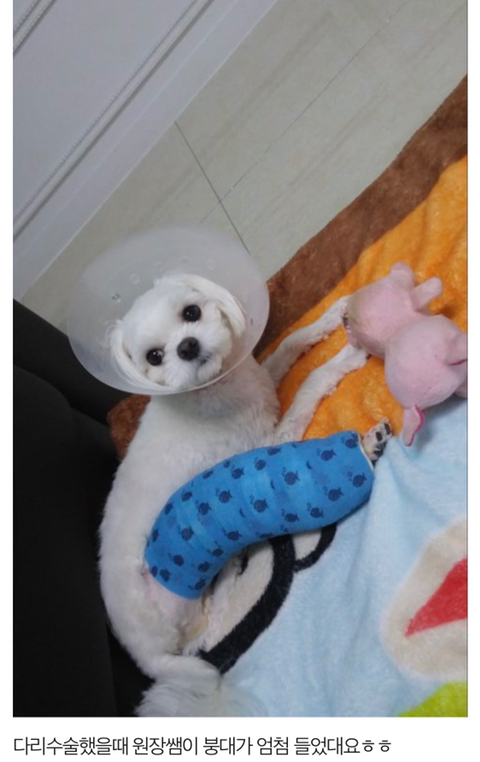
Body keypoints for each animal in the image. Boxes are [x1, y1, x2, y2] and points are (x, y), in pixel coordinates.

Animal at [100, 271, 390, 716]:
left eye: (191, 312)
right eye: (154, 356)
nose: (187, 346)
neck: (211, 389)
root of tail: (143, 655)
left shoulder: (259, 378)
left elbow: (289, 343)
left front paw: (332, 317)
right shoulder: (269, 439)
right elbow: (309, 384)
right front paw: (347, 356)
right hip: (177, 599)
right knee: (206, 634)